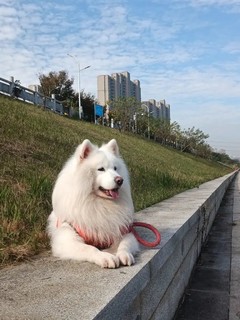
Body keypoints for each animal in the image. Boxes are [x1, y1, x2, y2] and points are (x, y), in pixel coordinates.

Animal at [47, 139, 139, 268]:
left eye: (115, 168)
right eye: (101, 169)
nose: (120, 180)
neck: (99, 203)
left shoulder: (124, 231)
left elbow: (125, 244)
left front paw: (124, 254)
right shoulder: (67, 239)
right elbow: (88, 248)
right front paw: (105, 257)